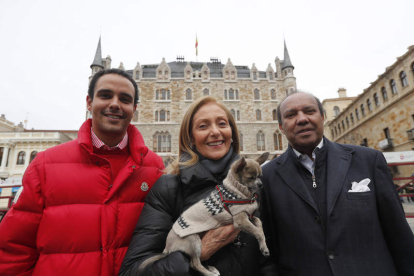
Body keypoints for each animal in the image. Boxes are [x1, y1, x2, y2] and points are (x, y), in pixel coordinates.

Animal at [137, 152, 270, 274]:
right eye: (250, 178)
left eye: (260, 176)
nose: (261, 184)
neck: (237, 191)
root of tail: (167, 247)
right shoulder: (240, 220)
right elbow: (257, 231)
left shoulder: (250, 217)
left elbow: (259, 226)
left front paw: (264, 246)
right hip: (193, 239)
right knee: (194, 263)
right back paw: (209, 273)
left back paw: (211, 268)